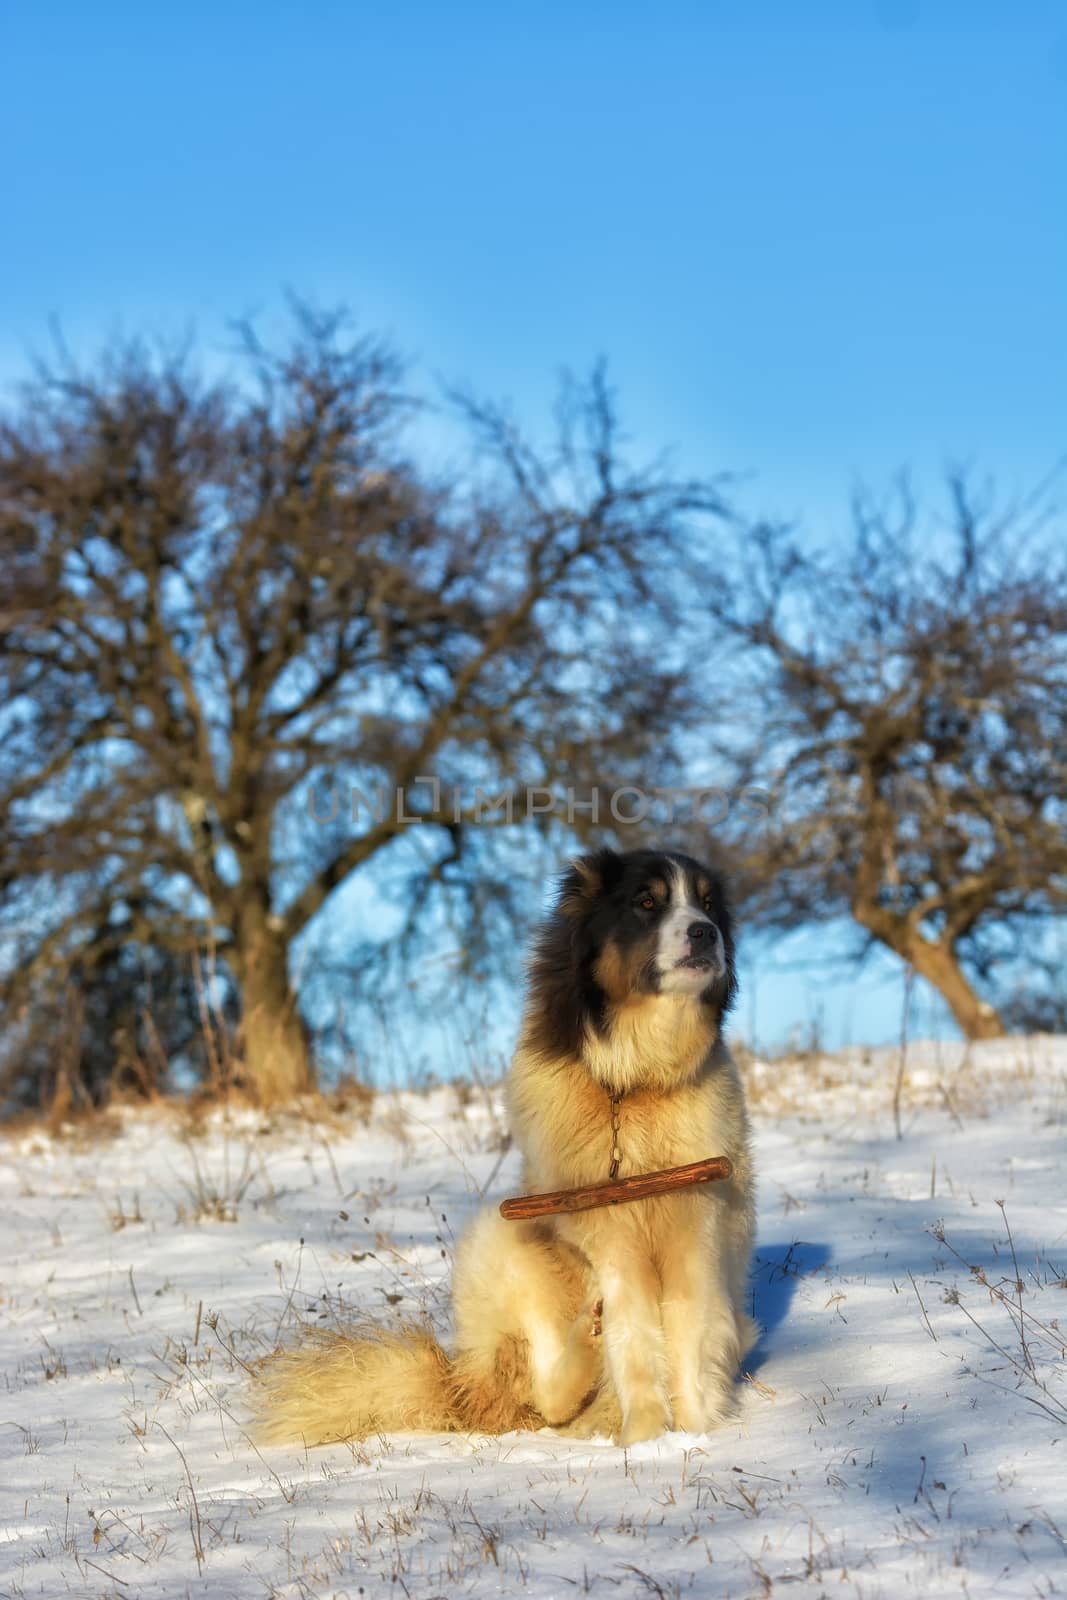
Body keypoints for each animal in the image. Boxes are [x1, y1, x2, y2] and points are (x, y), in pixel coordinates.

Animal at [255, 851, 758, 1452]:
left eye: (706, 904)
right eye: (646, 902)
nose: (706, 932)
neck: (634, 1082)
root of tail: (460, 1387)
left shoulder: (695, 1223)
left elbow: (688, 1336)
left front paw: (690, 1435)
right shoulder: (609, 1234)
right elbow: (635, 1341)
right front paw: (644, 1440)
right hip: (501, 1235)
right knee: (540, 1390)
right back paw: (587, 1339)